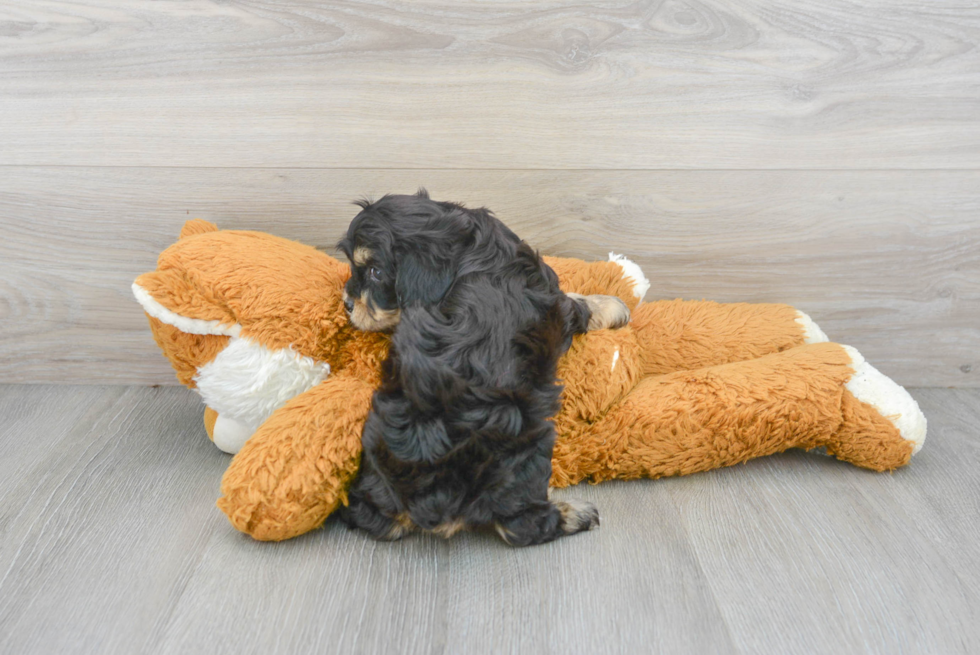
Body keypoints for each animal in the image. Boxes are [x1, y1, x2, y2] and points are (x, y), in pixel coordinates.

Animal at [334, 191, 628, 548]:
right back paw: (574, 514)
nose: (346, 303)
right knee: (519, 525)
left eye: (376, 272)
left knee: (374, 518)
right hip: (529, 449)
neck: (468, 248)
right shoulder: (553, 299)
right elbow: (578, 304)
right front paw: (614, 306)